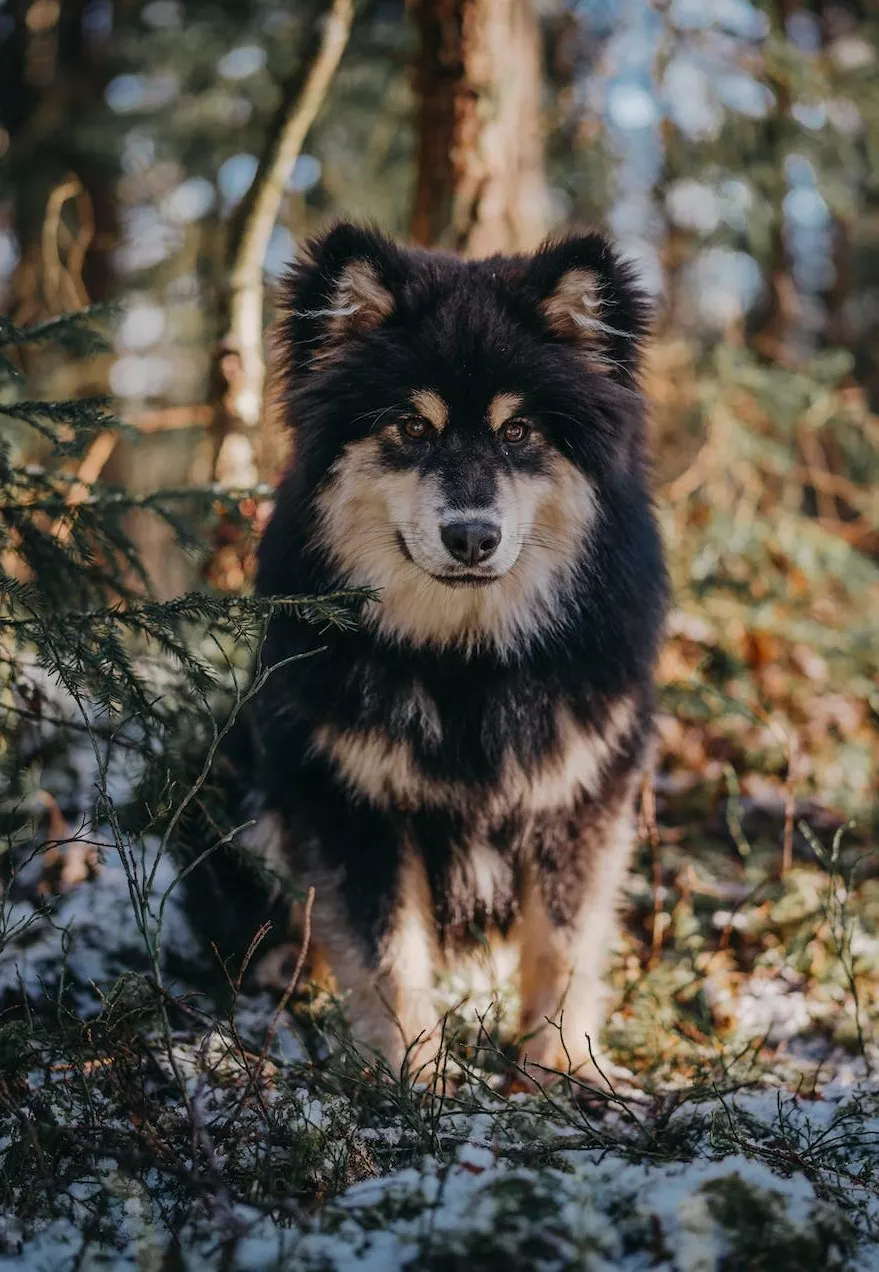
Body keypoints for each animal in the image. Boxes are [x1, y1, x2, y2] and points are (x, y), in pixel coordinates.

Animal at [234, 218, 666, 1083]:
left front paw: (552, 1071)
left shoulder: (579, 797)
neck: (465, 658)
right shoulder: (350, 800)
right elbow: (387, 954)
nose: (471, 536)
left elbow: (561, 947)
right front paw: (412, 1079)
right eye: (412, 427)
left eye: (517, 431)